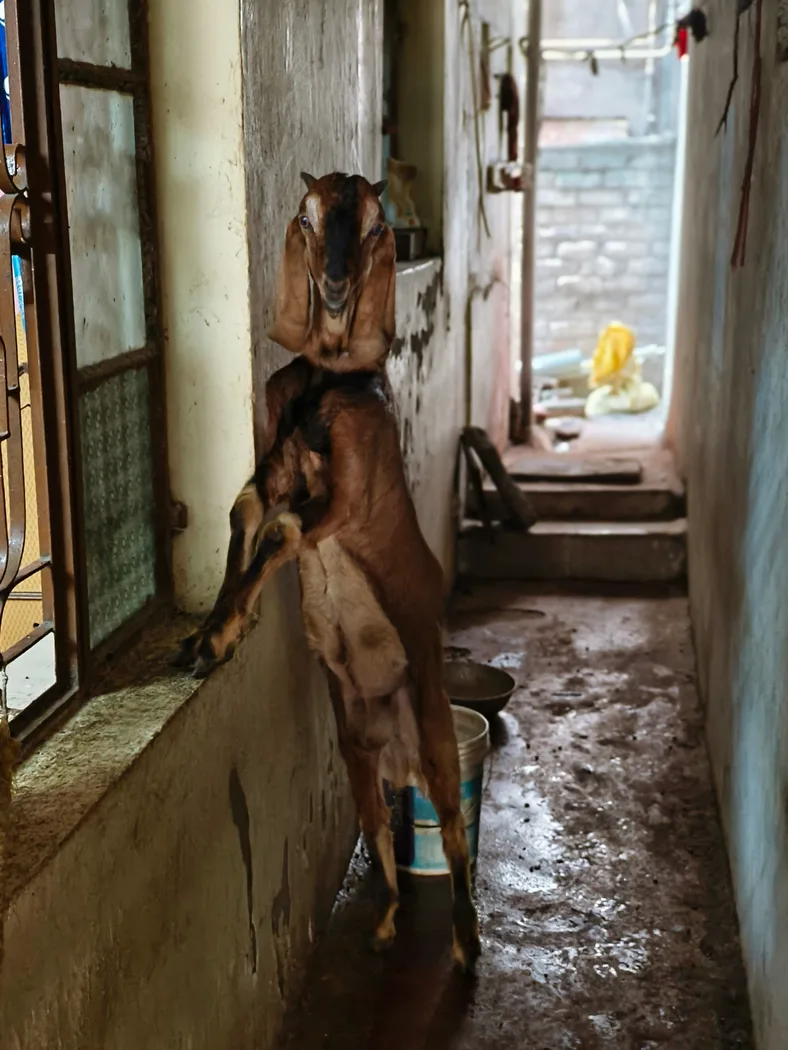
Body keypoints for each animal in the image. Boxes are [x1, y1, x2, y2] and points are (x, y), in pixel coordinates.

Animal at [175, 172, 481, 973]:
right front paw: (208, 638)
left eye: (375, 225)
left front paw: (216, 636)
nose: (338, 288)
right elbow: (245, 512)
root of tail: (401, 753)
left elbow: (282, 529)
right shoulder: (274, 463)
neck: (327, 384)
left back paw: (467, 942)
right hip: (355, 755)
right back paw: (387, 925)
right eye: (307, 218)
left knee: (455, 828)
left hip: (437, 732)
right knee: (381, 833)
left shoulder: (348, 498)